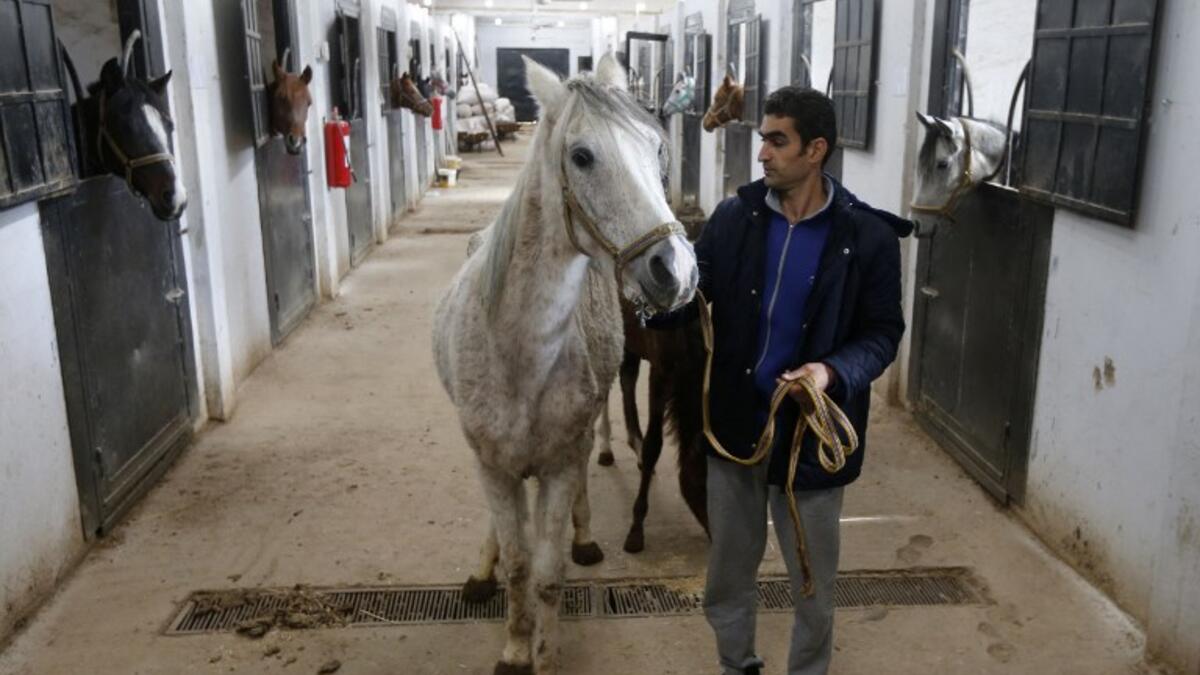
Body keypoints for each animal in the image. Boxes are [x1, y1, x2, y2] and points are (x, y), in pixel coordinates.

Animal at [432, 54, 698, 674]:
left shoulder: (555, 463)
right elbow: (518, 564)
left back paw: (584, 536)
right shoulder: (493, 465)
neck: (519, 356)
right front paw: (513, 647)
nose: (675, 270)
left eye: (657, 147)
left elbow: (548, 574)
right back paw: (483, 567)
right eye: (581, 156)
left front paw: (545, 654)